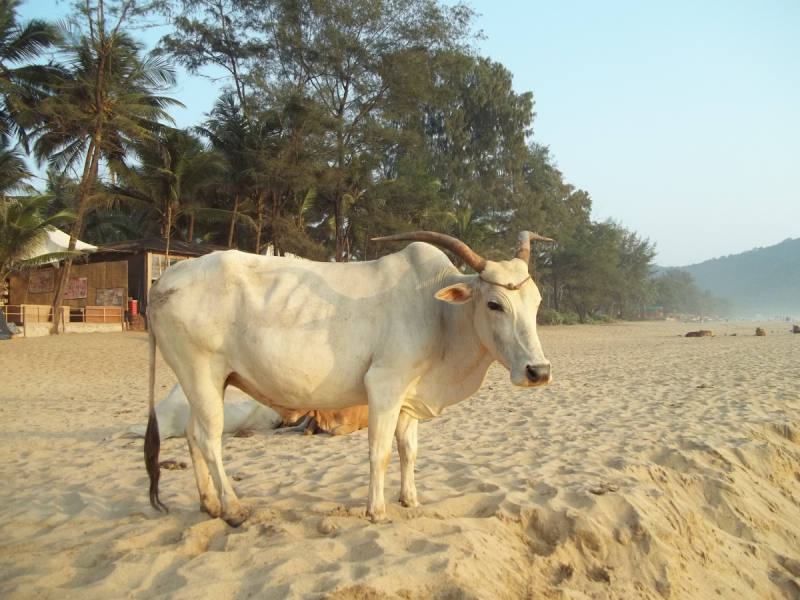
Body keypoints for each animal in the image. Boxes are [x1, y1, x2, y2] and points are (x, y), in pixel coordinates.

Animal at [145, 230, 552, 524]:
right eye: (494, 304)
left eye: (536, 303)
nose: (539, 371)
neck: (439, 313)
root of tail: (164, 278)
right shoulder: (384, 386)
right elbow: (380, 452)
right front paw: (377, 511)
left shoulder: (408, 395)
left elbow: (409, 449)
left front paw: (411, 500)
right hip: (201, 373)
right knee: (208, 439)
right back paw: (232, 509)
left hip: (206, 382)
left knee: (191, 435)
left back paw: (210, 505)